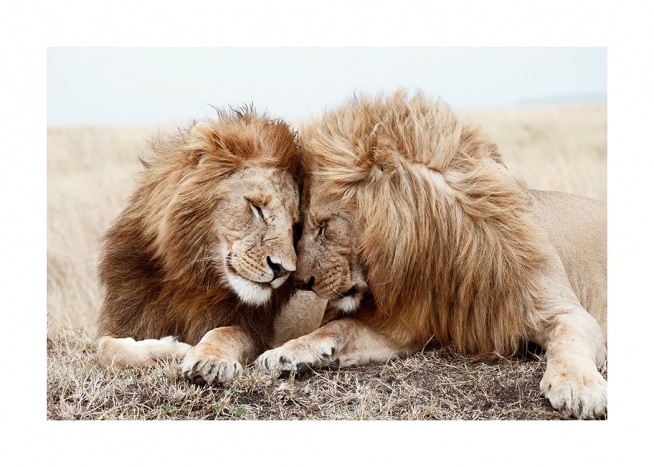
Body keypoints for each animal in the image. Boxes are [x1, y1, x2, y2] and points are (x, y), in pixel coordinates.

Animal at [96, 106, 326, 385]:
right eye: (257, 208)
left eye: (294, 225)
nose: (283, 270)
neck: (191, 277)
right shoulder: (126, 318)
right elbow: (106, 349)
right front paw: (174, 349)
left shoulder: (254, 330)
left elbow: (224, 332)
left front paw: (209, 361)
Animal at [255, 90, 607, 419]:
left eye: (324, 226)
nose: (300, 282)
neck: (441, 249)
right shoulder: (403, 326)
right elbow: (337, 328)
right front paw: (284, 353)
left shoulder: (566, 312)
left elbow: (569, 342)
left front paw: (579, 387)